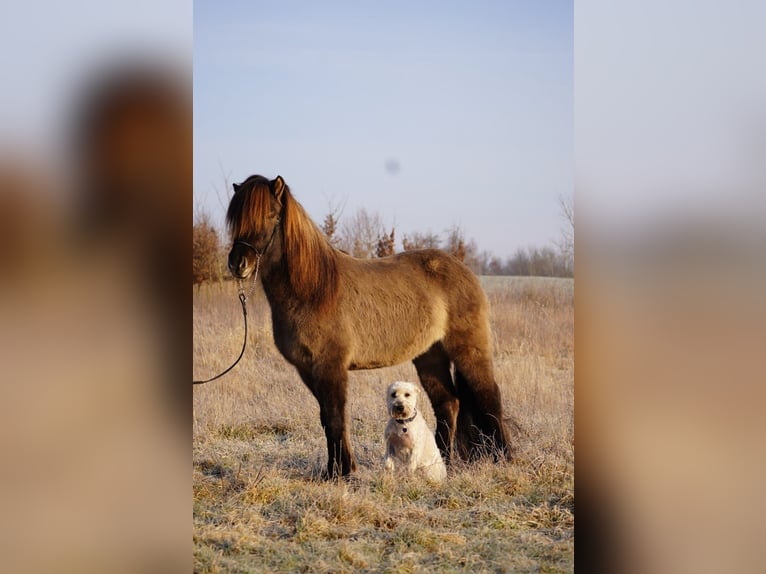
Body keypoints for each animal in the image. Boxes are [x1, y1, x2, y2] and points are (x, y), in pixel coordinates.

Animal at [228, 174, 512, 476]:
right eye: (236, 217)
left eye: (270, 214)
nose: (238, 264)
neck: (314, 290)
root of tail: (464, 271)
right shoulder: (307, 369)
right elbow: (326, 419)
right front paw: (336, 470)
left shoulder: (331, 367)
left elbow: (336, 418)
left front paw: (342, 472)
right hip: (430, 355)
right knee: (448, 402)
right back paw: (440, 461)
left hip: (469, 350)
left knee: (489, 398)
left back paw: (505, 457)